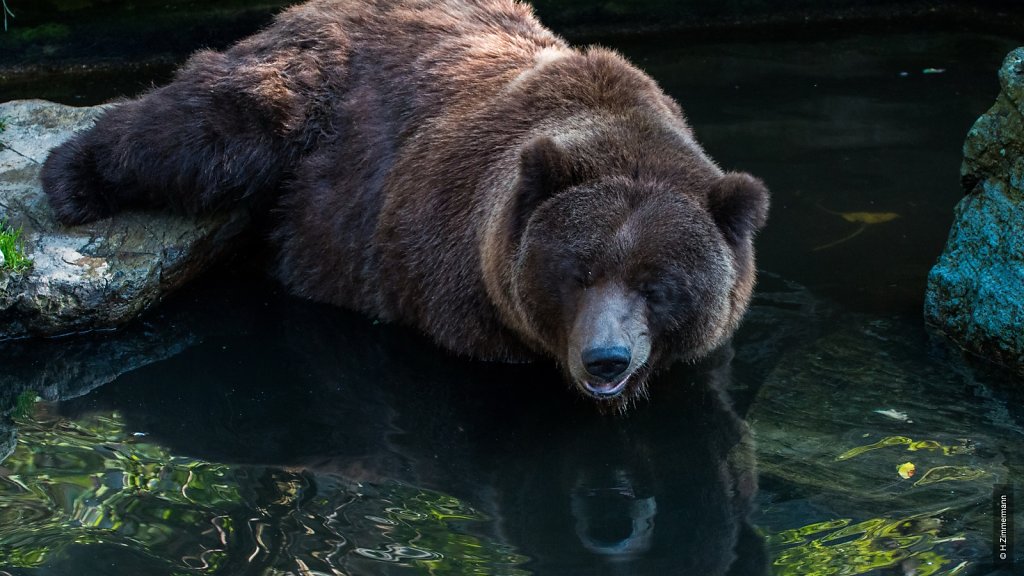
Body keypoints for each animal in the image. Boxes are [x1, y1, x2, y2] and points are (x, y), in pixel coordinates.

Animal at [44, 0, 770, 403]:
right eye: (579, 272)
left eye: (657, 284)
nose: (606, 358)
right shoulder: (454, 287)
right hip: (305, 106)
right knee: (203, 126)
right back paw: (71, 178)